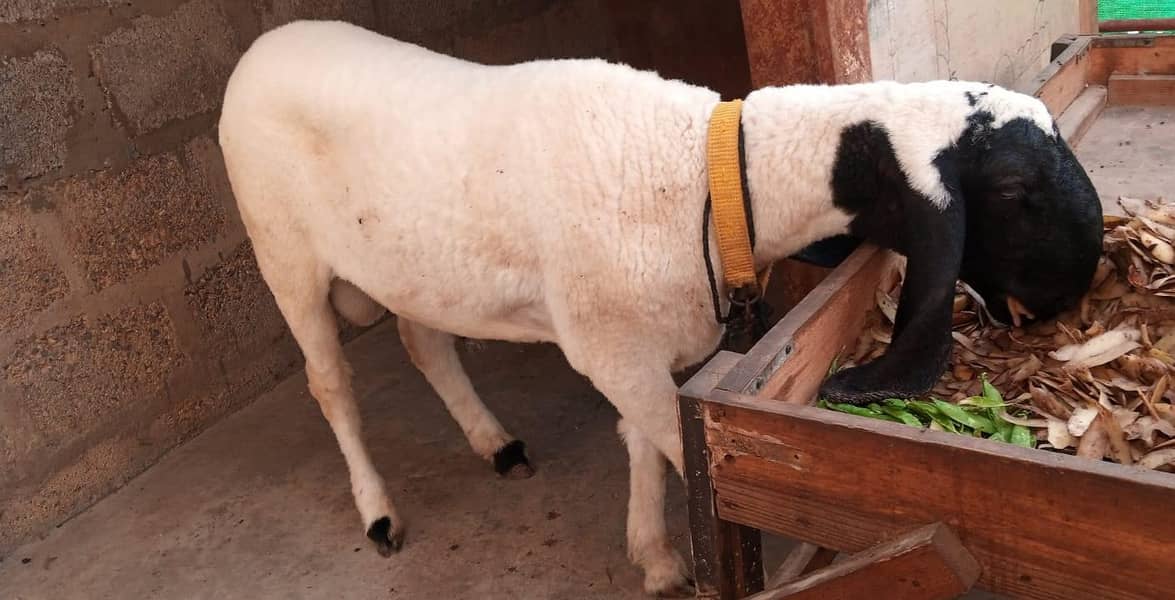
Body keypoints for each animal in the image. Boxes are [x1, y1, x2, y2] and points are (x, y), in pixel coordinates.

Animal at [217, 20, 1102, 596]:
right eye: (1014, 191)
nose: (1069, 298)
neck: (706, 175)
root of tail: (266, 44)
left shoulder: (641, 343)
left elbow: (639, 438)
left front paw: (653, 556)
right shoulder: (608, 347)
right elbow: (678, 454)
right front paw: (692, 560)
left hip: (414, 264)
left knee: (423, 343)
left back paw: (494, 442)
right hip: (282, 251)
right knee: (330, 383)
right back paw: (378, 514)